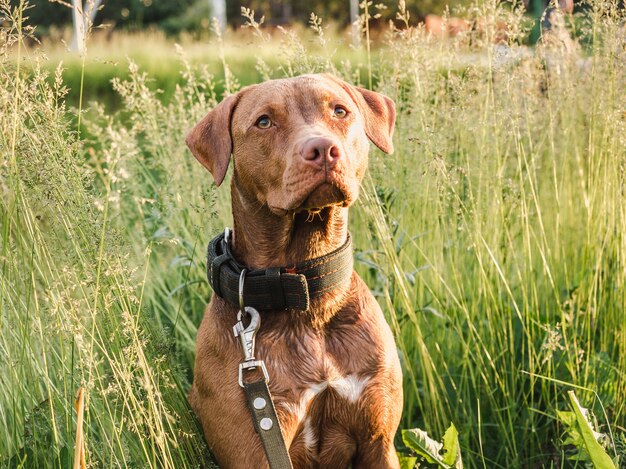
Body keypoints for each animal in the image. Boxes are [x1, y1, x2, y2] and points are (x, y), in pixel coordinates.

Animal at [185, 74, 400, 468]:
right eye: (264, 121)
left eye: (339, 111)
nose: (323, 149)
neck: (307, 294)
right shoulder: (258, 445)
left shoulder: (378, 438)